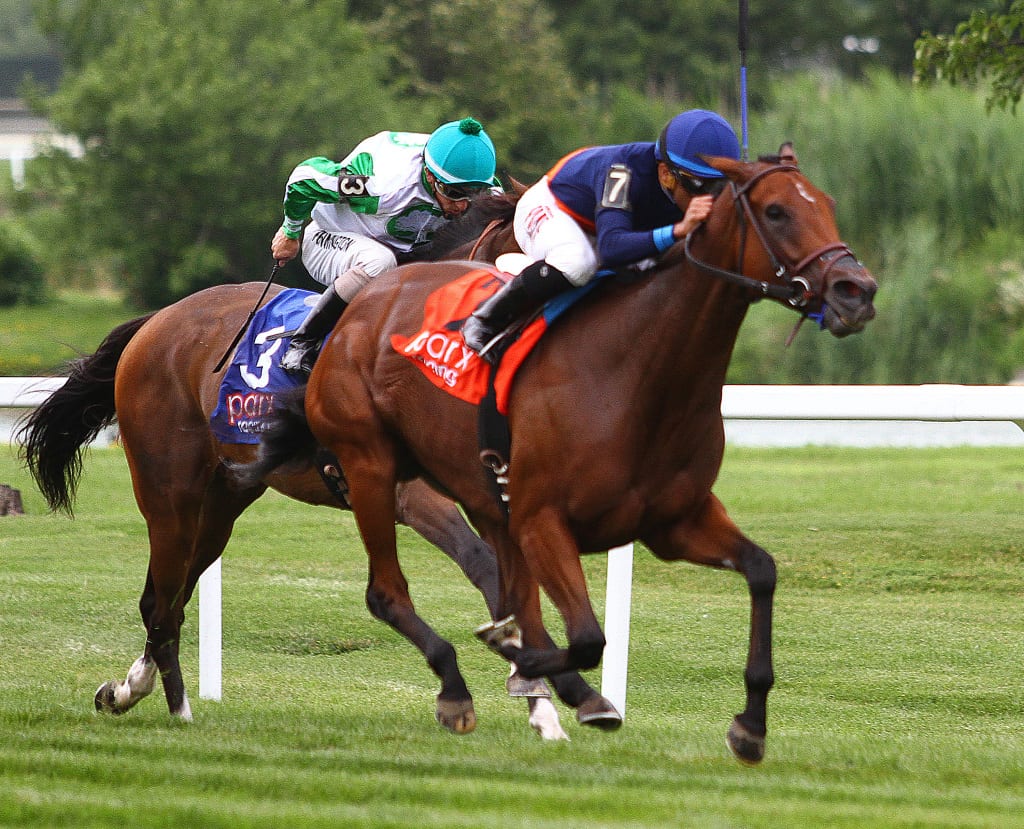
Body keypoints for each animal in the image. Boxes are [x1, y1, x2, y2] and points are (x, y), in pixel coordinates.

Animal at [245, 156, 880, 761]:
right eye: (776, 212)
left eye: (827, 205)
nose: (857, 290)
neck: (637, 369)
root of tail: (359, 318)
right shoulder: (538, 520)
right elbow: (583, 636)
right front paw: (534, 672)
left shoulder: (670, 521)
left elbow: (760, 570)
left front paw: (749, 725)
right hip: (371, 467)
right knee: (386, 591)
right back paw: (462, 690)